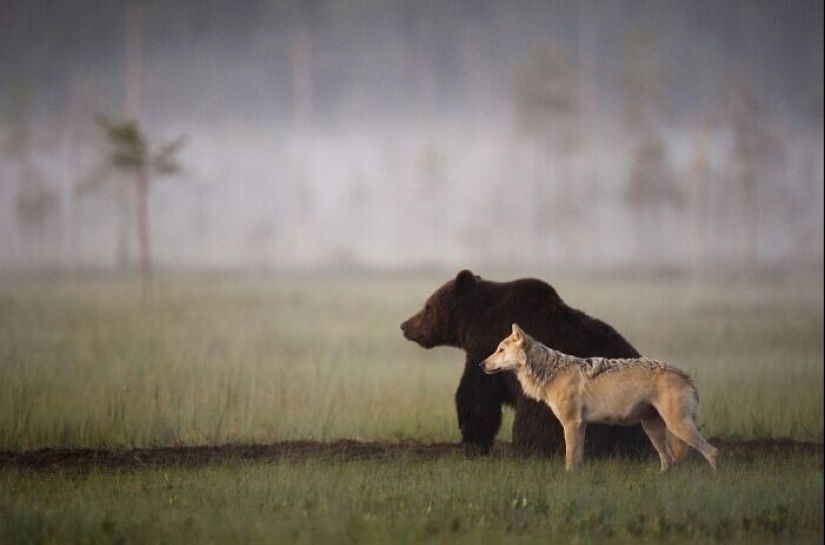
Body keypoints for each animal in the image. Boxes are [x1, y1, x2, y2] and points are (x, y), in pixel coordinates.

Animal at [400, 270, 652, 454]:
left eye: (428, 307)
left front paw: (471, 440)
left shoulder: (485, 349)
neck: (474, 322)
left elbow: (476, 396)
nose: (405, 325)